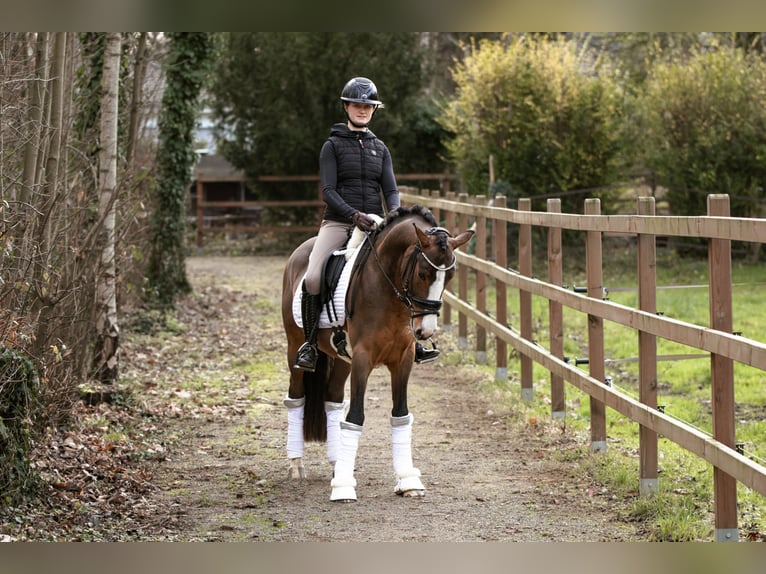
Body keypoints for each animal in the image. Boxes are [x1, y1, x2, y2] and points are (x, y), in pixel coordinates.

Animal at [280, 204, 474, 502]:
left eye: (449, 277)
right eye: (422, 274)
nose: (425, 331)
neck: (389, 291)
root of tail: (301, 250)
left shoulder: (403, 360)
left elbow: (400, 415)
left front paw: (408, 480)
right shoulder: (363, 359)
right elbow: (355, 418)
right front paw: (344, 488)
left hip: (341, 360)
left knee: (333, 401)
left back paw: (338, 464)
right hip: (294, 347)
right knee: (296, 398)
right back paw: (297, 466)